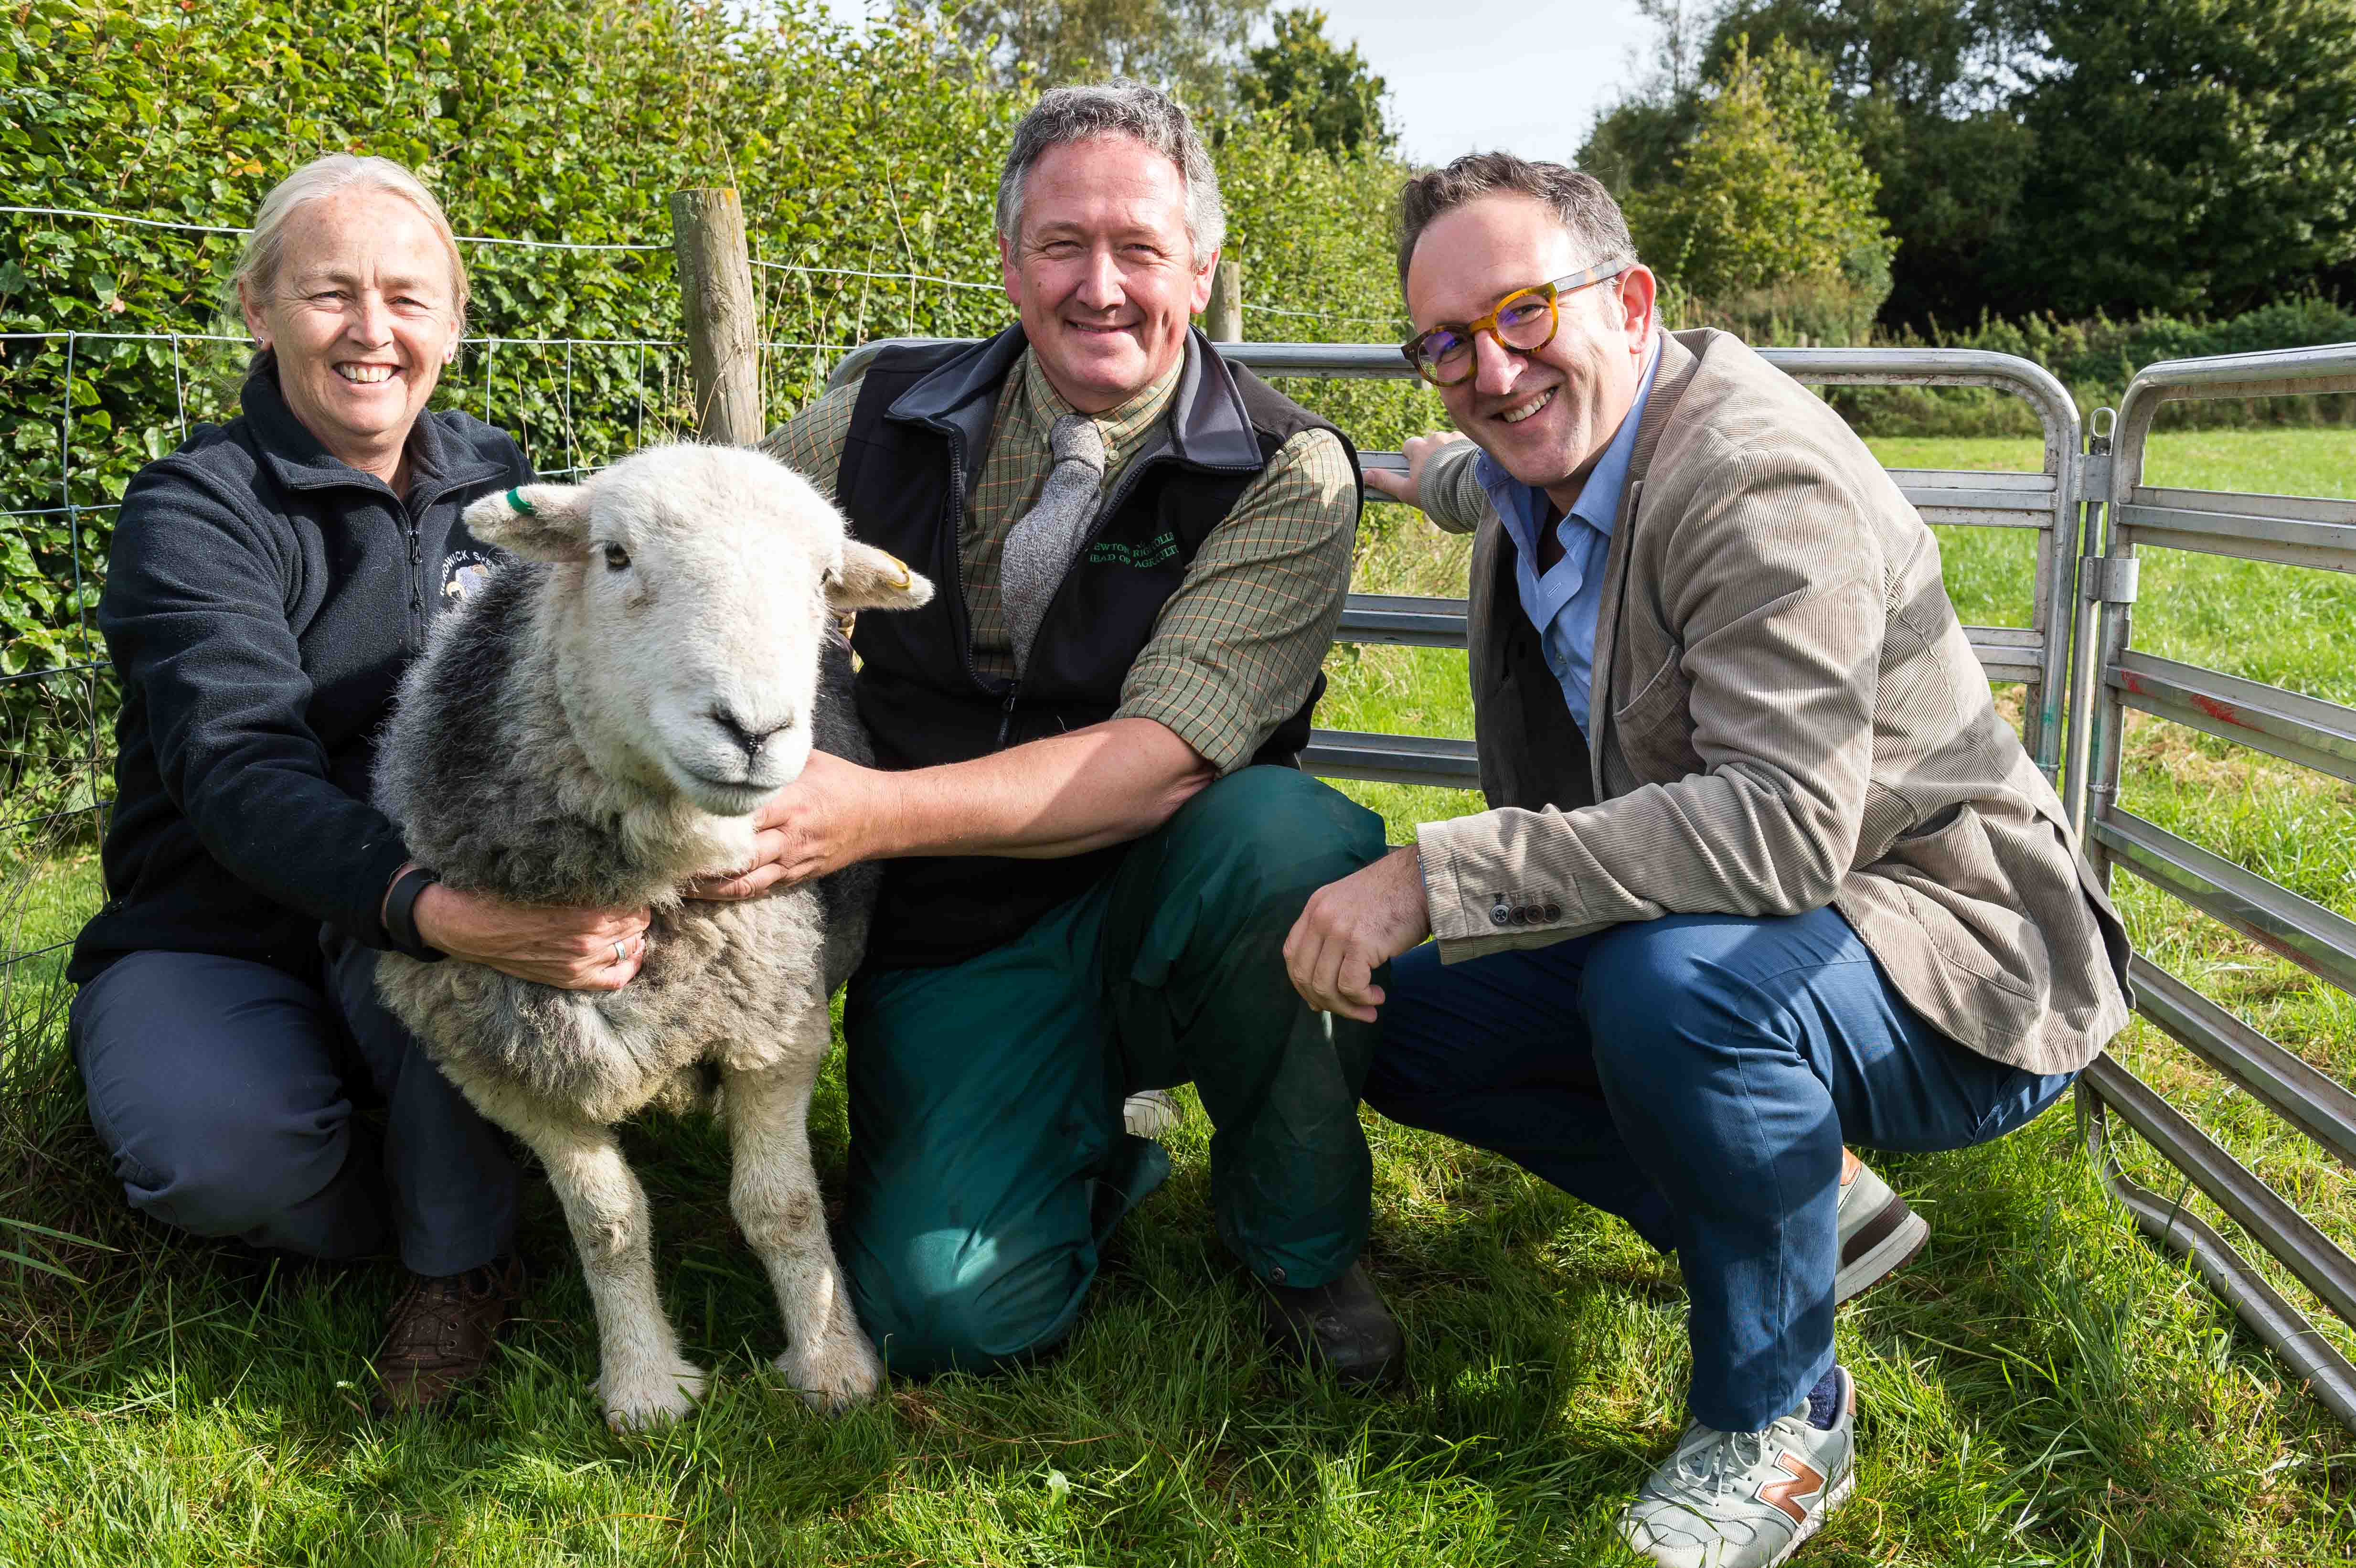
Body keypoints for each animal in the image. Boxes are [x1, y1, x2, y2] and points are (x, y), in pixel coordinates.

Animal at [374, 440, 928, 1431]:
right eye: (614, 555)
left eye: (824, 580)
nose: (754, 729)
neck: (649, 884)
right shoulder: (505, 1064)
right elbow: (608, 1224)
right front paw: (644, 1384)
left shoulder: (774, 1025)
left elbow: (781, 1205)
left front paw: (832, 1365)